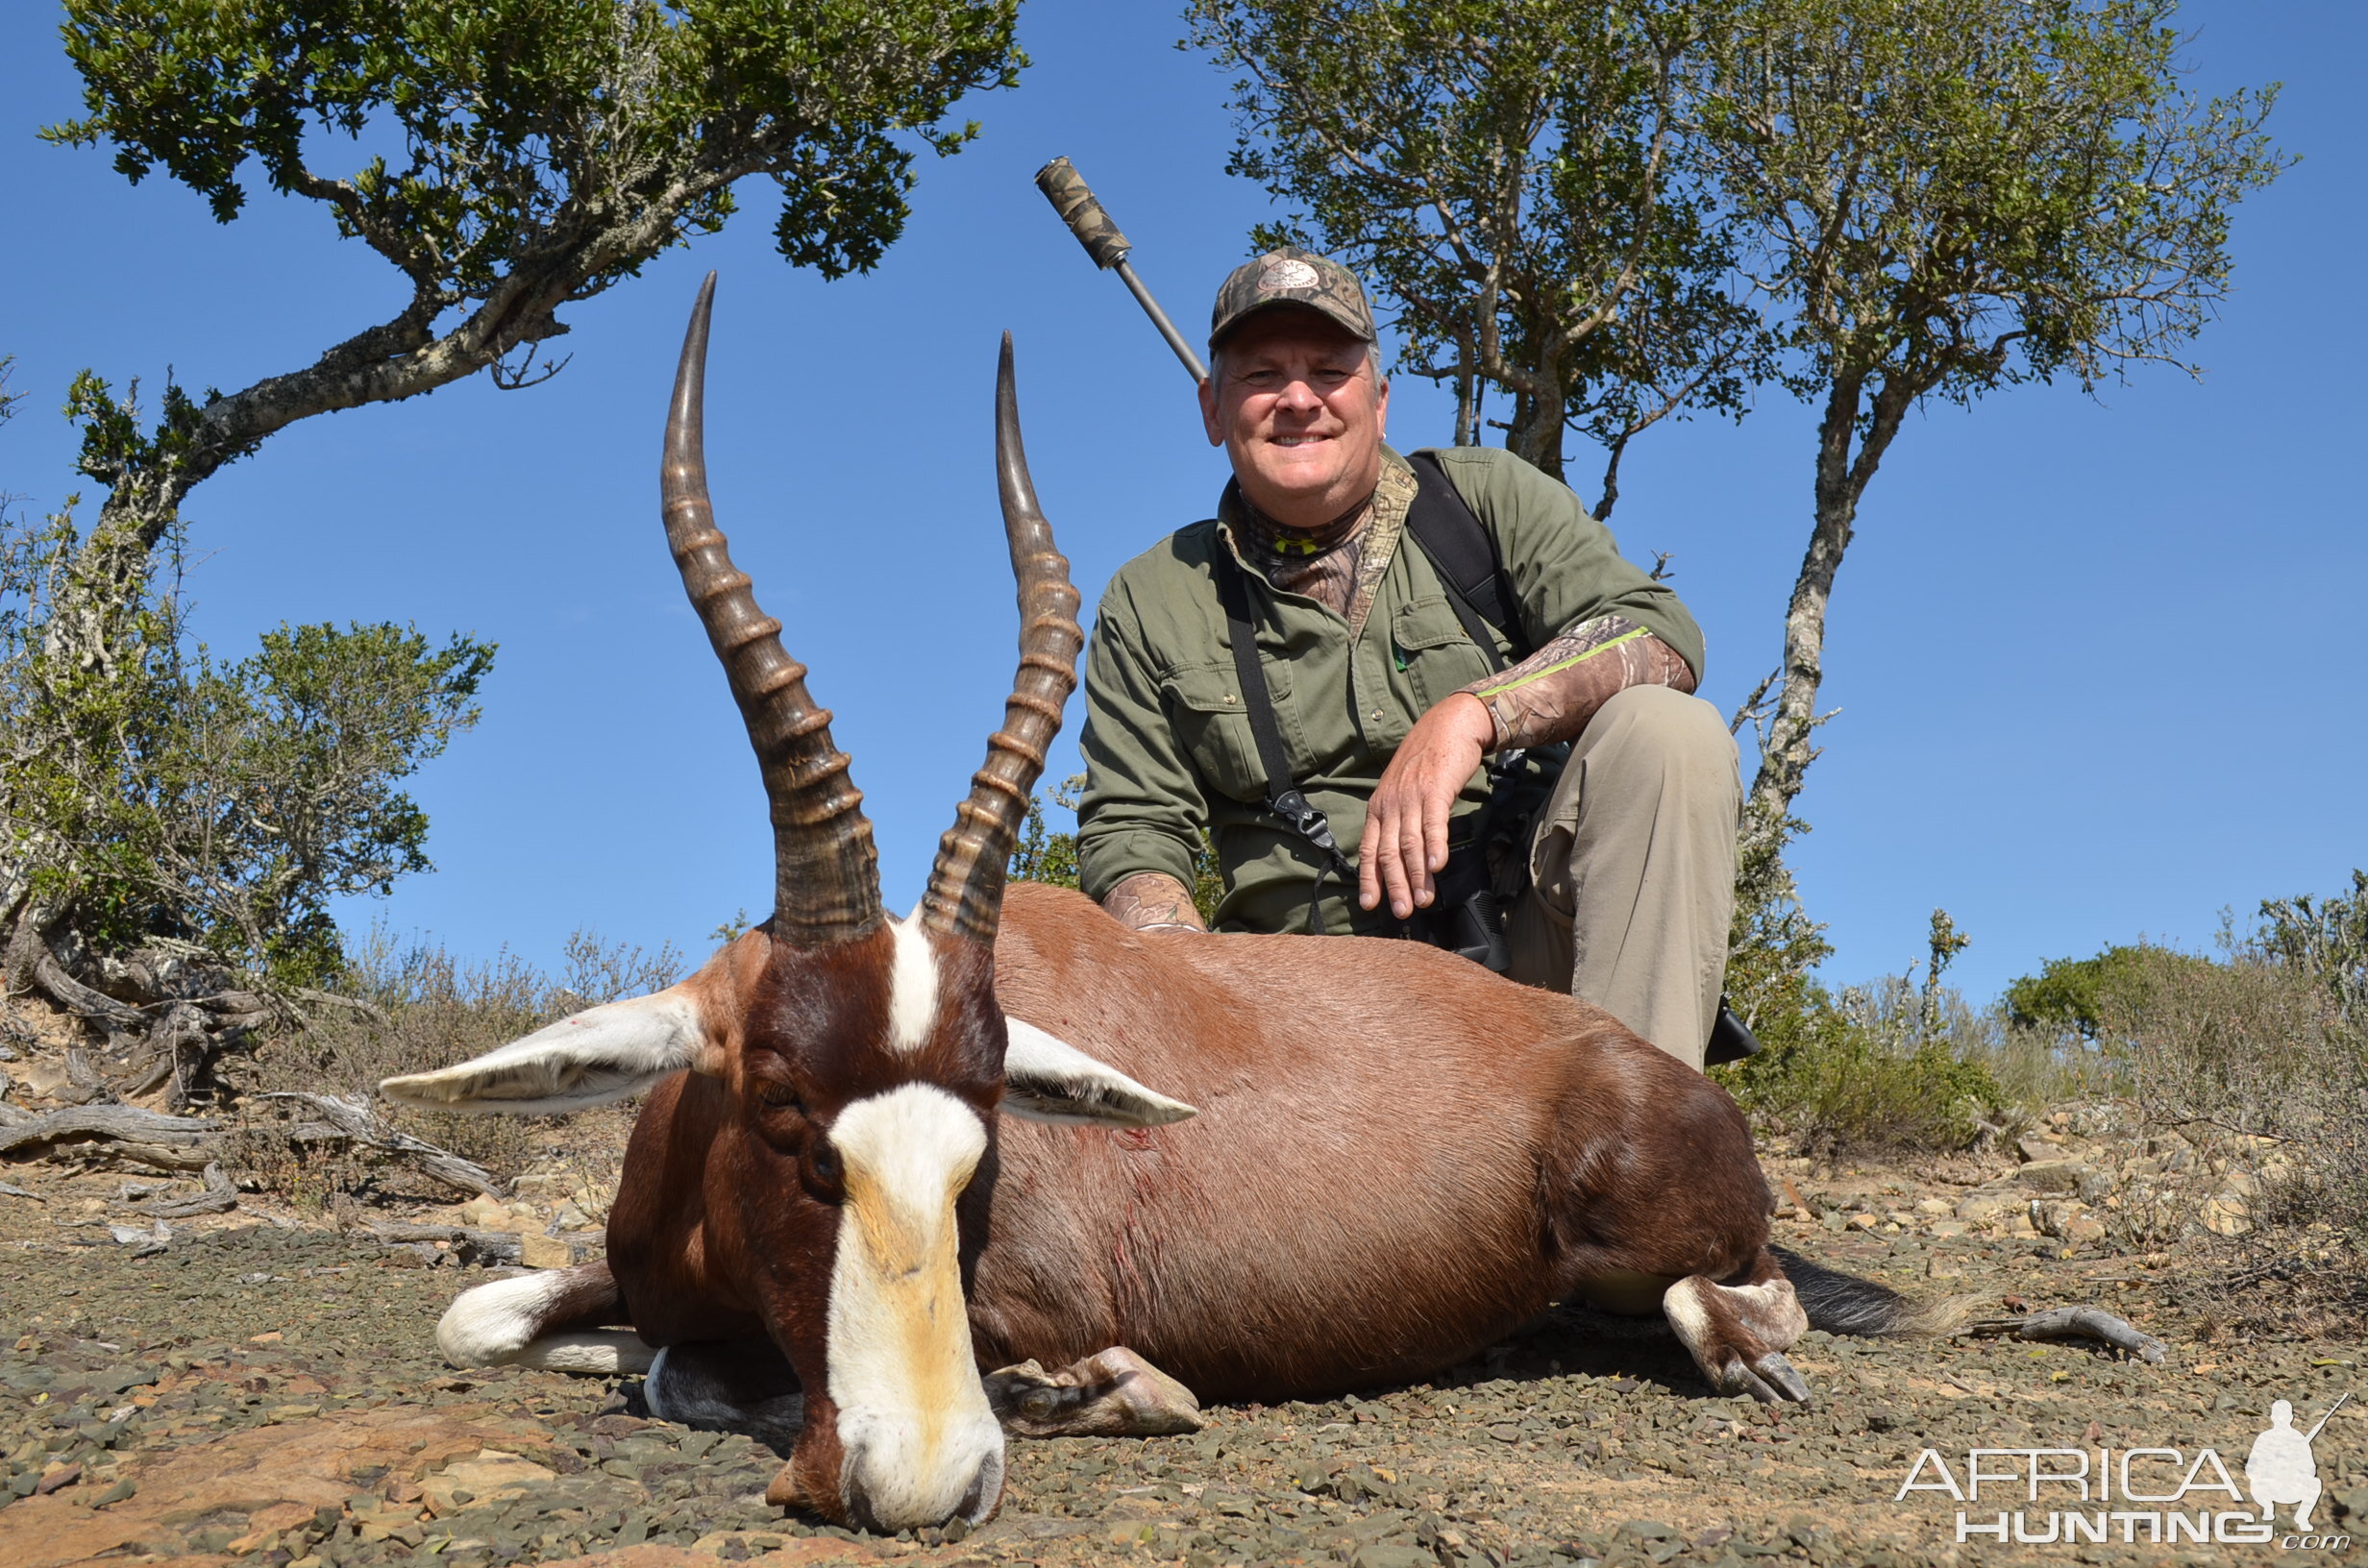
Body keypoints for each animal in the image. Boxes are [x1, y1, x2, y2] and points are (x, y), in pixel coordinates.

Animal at [388, 279, 2169, 1534]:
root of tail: (1623, 1057)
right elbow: (490, 1315)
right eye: (779, 1109)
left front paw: (1090, 1396)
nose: (926, 1482)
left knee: (1732, 1294)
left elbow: (1046, 1378)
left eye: (986, 1128)